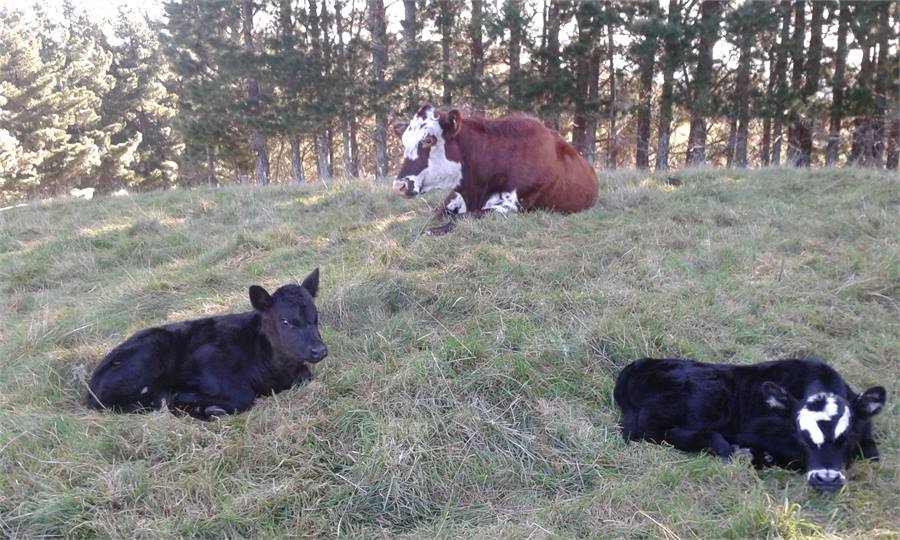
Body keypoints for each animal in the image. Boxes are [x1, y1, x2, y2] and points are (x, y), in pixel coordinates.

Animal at [85, 269, 327, 420]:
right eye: (285, 321)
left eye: (315, 316)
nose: (319, 350)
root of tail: (91, 383)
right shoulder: (207, 360)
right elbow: (243, 394)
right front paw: (201, 404)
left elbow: (306, 374)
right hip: (148, 355)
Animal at [391, 103, 599, 235]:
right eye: (404, 142)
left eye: (428, 140)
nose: (398, 186)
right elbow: (434, 214)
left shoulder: (511, 206)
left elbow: (463, 218)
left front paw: (431, 231)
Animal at [614, 357, 886, 492]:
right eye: (801, 436)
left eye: (849, 435)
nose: (826, 479)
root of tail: (635, 366)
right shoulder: (757, 429)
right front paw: (759, 455)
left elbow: (872, 455)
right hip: (702, 395)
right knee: (645, 431)